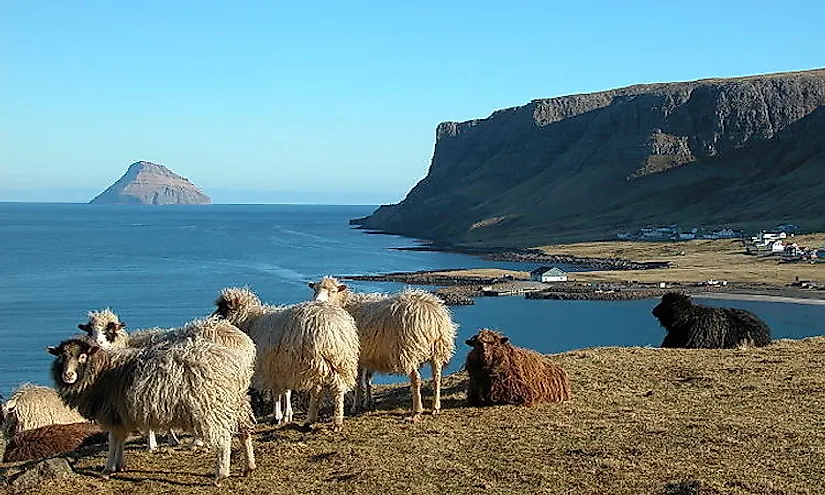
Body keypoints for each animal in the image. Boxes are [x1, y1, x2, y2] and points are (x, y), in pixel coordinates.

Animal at [49, 318, 254, 484]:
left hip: (210, 406)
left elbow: (113, 440)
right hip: (233, 402)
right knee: (244, 430)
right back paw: (248, 466)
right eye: (61, 357)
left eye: (82, 356)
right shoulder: (123, 413)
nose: (68, 375)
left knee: (224, 440)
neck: (102, 370)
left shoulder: (113, 411)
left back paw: (220, 474)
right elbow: (121, 439)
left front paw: (108, 469)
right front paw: (120, 465)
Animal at [212, 288, 358, 432]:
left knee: (322, 391)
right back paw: (328, 421)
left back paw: (323, 422)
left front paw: (277, 417)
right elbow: (286, 392)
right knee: (334, 389)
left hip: (318, 362)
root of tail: (337, 329)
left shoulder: (272, 367)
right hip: (339, 362)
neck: (251, 321)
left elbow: (276, 393)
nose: (213, 318)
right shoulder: (284, 366)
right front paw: (287, 416)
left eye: (222, 307)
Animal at [308, 278, 458, 416]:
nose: (318, 302)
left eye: (333, 291)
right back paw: (435, 407)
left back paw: (417, 410)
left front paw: (355, 406)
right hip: (438, 349)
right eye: (315, 290)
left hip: (410, 351)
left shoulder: (356, 356)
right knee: (437, 376)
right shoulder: (368, 356)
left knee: (416, 378)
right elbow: (368, 379)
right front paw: (368, 402)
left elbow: (358, 382)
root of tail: (431, 315)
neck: (345, 305)